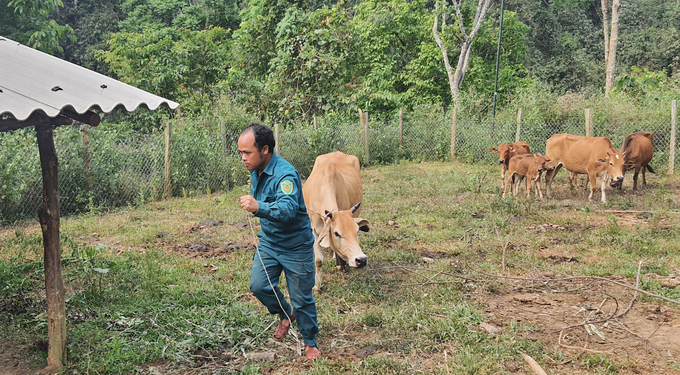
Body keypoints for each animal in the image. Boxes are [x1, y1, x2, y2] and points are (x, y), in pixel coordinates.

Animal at [300, 151, 370, 292]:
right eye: (336, 233)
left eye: (356, 231)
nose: (361, 260)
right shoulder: (313, 230)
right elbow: (318, 260)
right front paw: (316, 286)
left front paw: (340, 264)